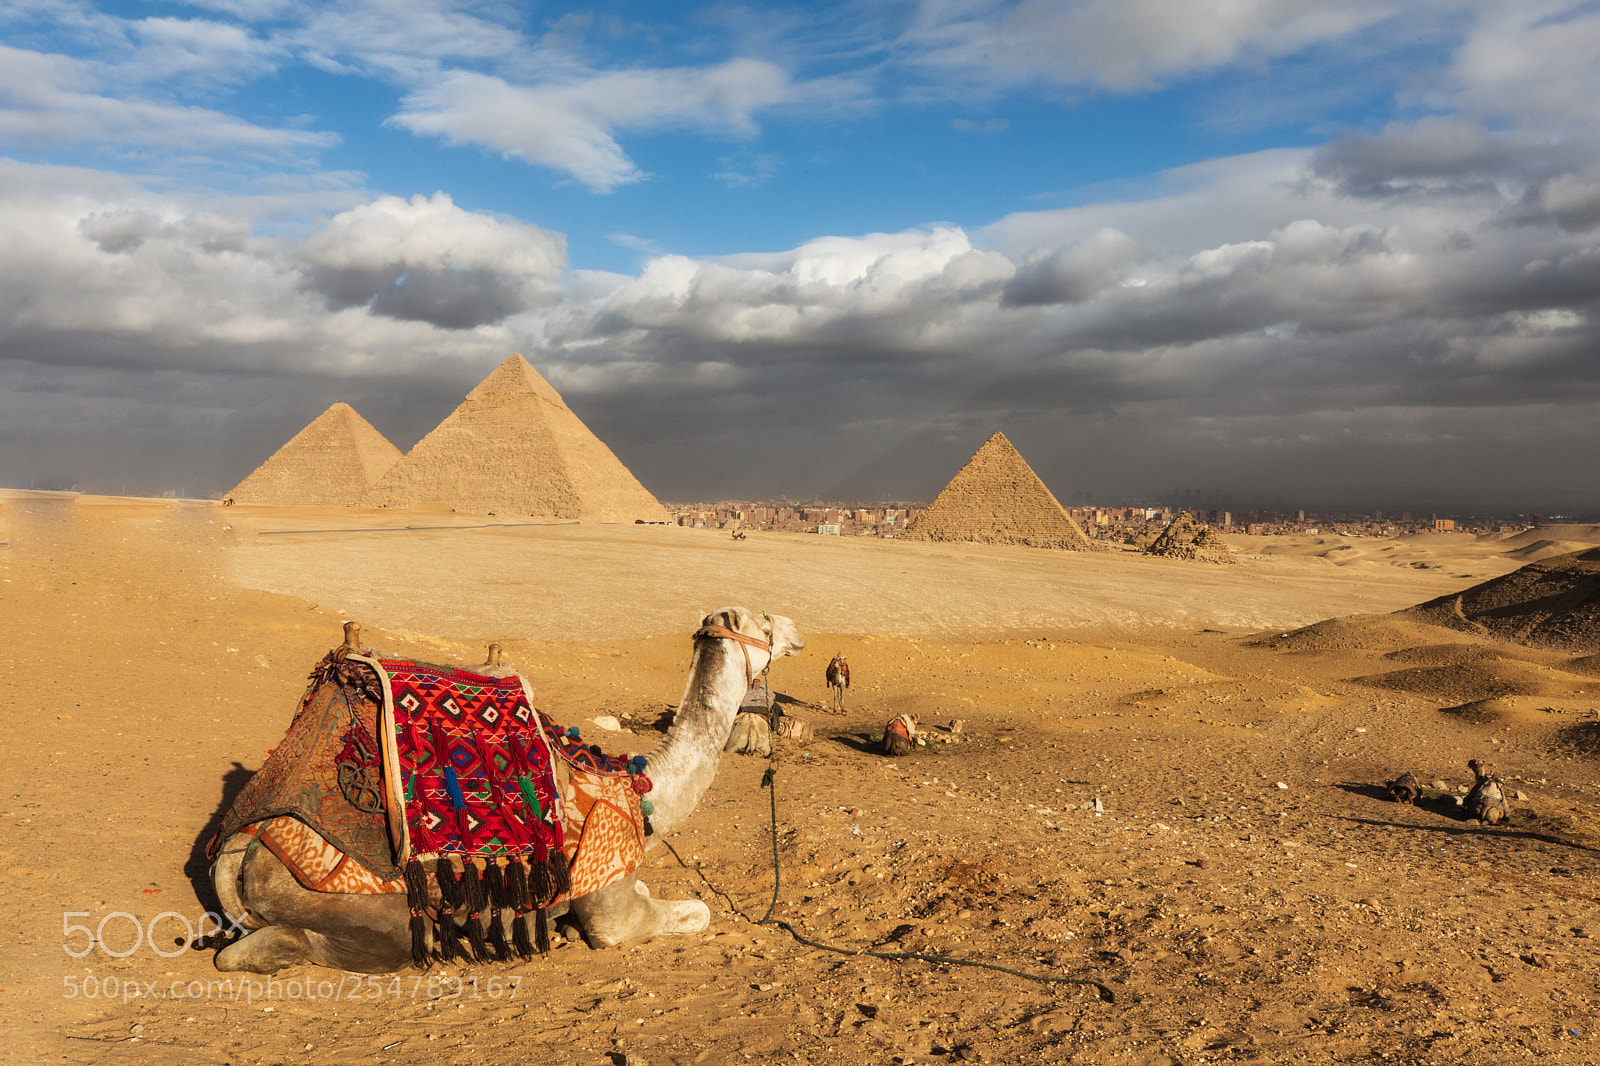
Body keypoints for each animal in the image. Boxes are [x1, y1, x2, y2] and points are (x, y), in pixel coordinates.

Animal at [209, 607, 804, 974]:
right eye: (764, 620)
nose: (797, 631)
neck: (642, 790)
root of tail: (244, 849)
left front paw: (561, 929)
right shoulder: (608, 900)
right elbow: (694, 913)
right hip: (365, 913)